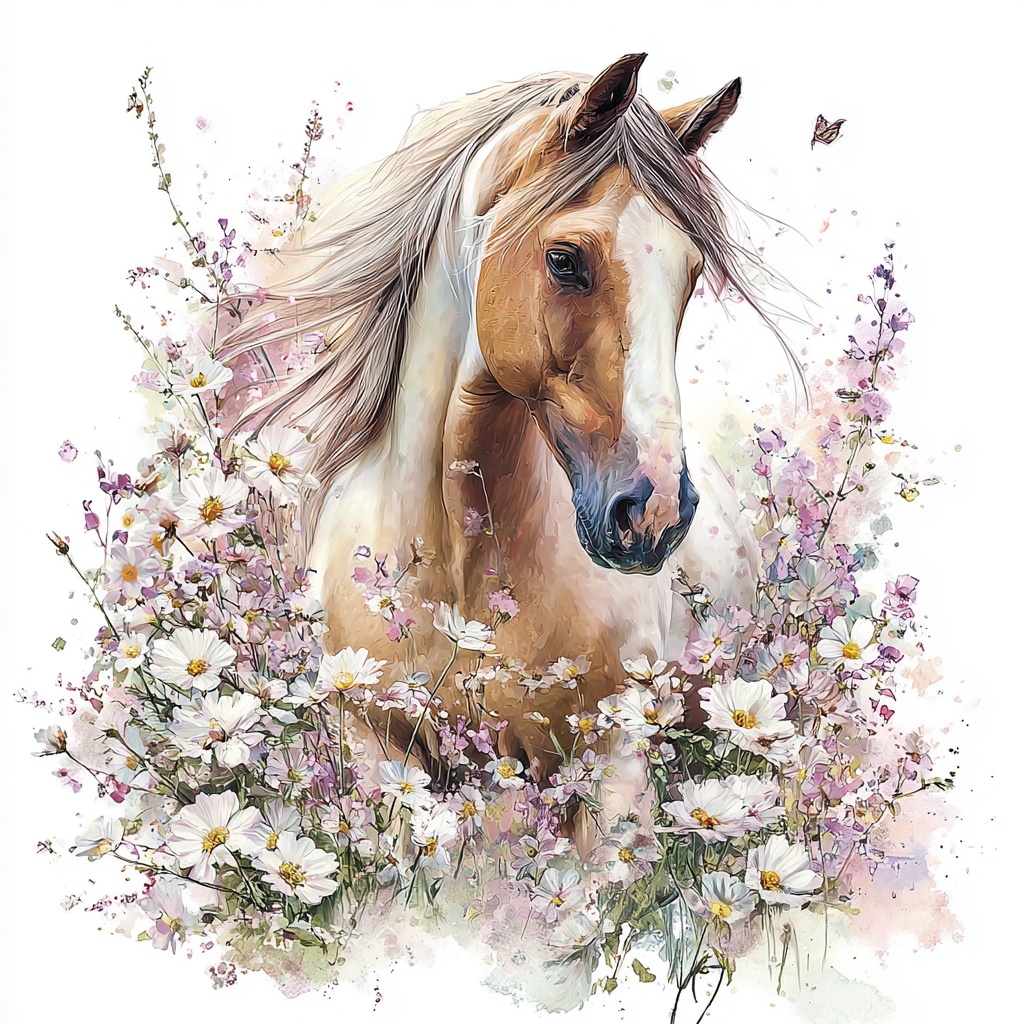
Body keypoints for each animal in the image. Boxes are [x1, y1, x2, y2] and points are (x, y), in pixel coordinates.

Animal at [219, 53, 766, 807]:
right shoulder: (379, 752)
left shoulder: (613, 764)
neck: (457, 567)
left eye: (690, 272)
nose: (654, 512)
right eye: (565, 260)